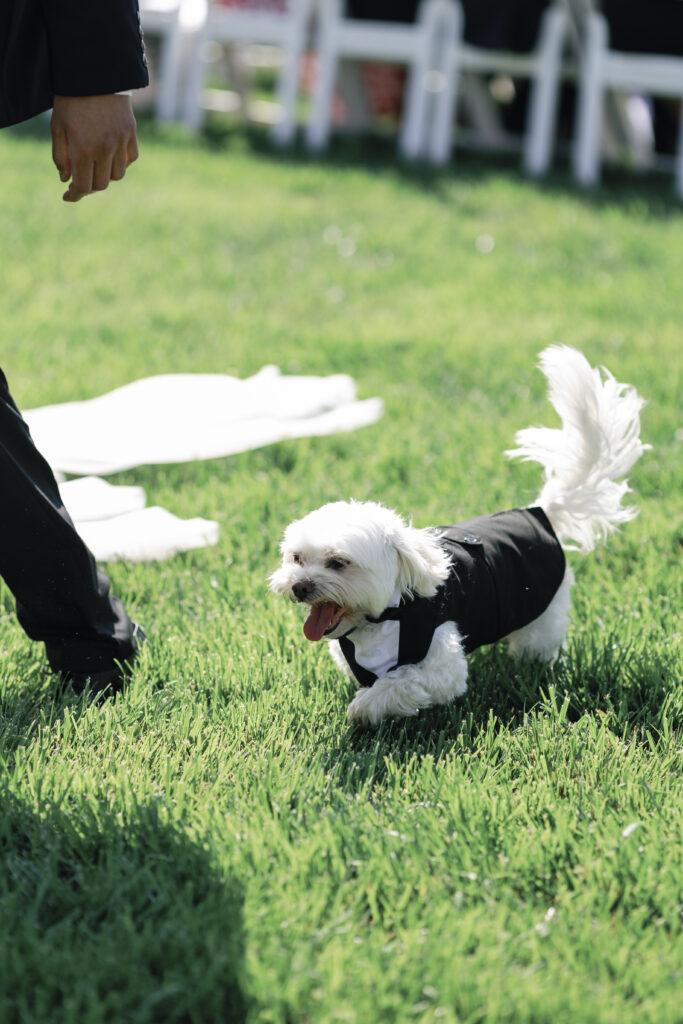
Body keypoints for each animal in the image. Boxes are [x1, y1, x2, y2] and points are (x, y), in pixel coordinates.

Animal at [270, 348, 651, 724]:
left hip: (542, 610)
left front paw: (362, 709)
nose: (299, 586)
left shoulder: (438, 662)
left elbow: (399, 684)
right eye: (296, 558)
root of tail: (540, 510)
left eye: (339, 563)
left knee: (536, 646)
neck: (384, 616)